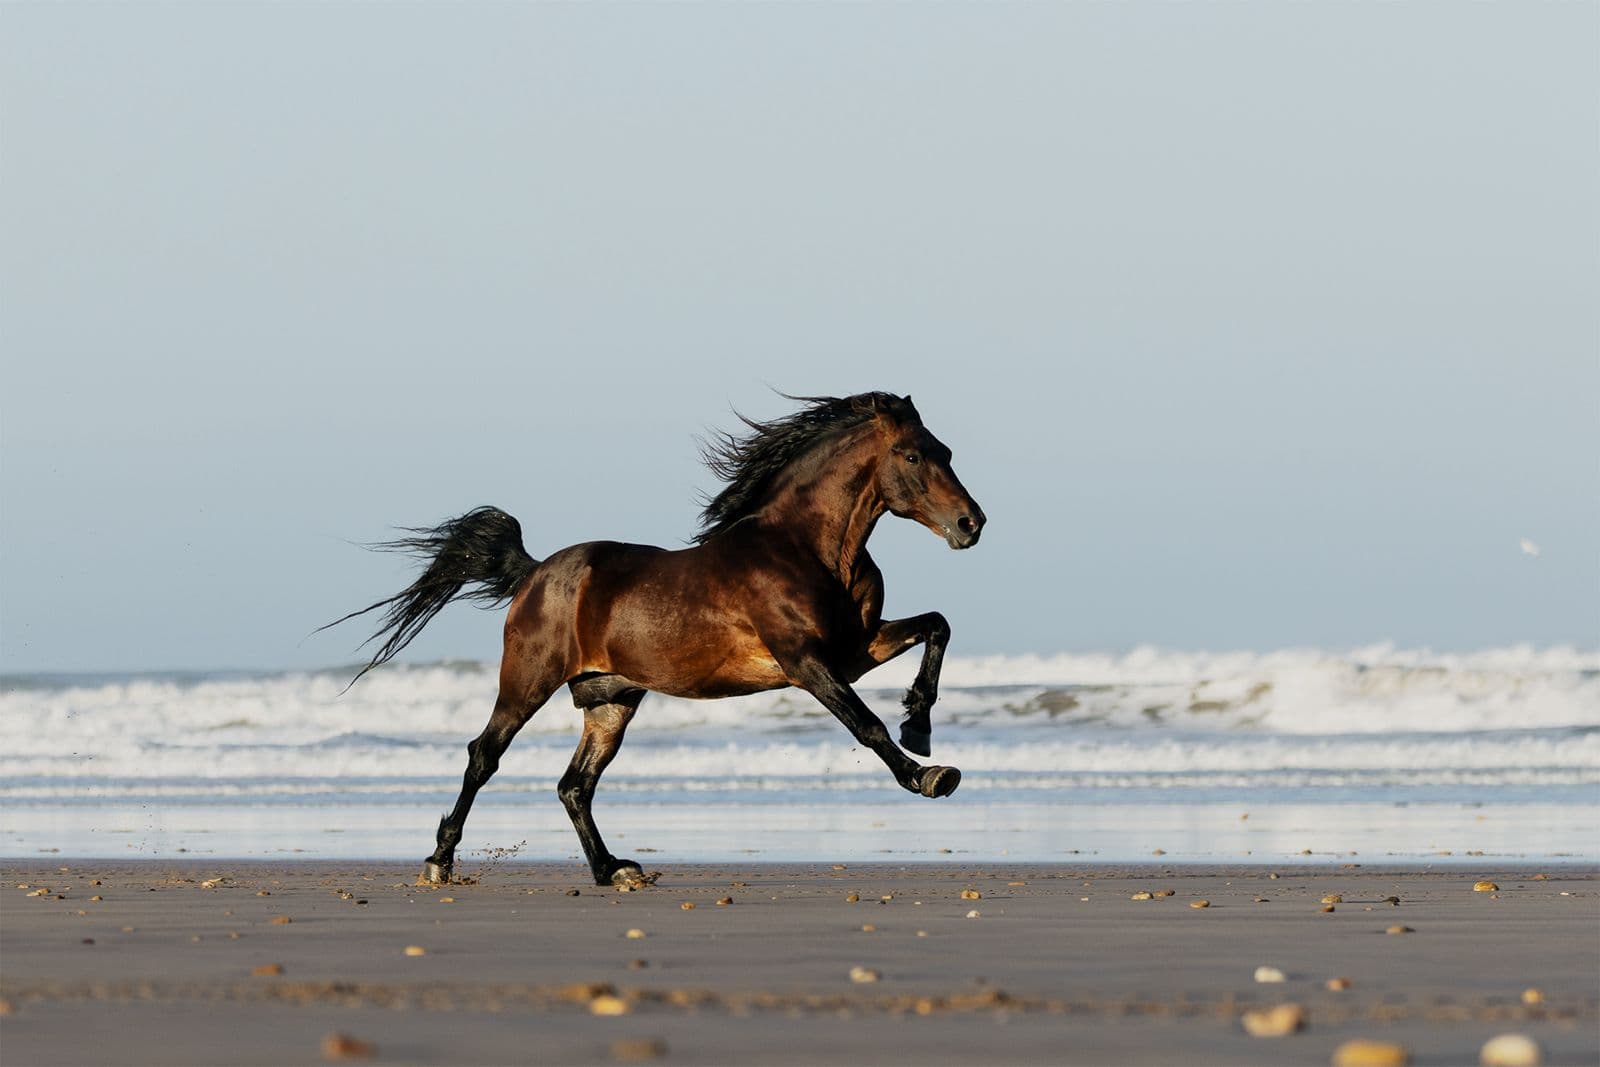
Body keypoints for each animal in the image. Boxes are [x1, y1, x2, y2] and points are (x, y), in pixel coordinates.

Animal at [326, 391, 986, 886]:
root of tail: (534, 573)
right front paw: (930, 776)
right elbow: (866, 725)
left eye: (946, 451)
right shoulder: (807, 662)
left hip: (611, 699)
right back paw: (439, 862)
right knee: (484, 755)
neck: (808, 550)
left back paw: (614, 870)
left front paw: (920, 725)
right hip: (527, 682)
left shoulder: (856, 649)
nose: (971, 524)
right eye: (911, 455)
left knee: (574, 785)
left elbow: (937, 625)